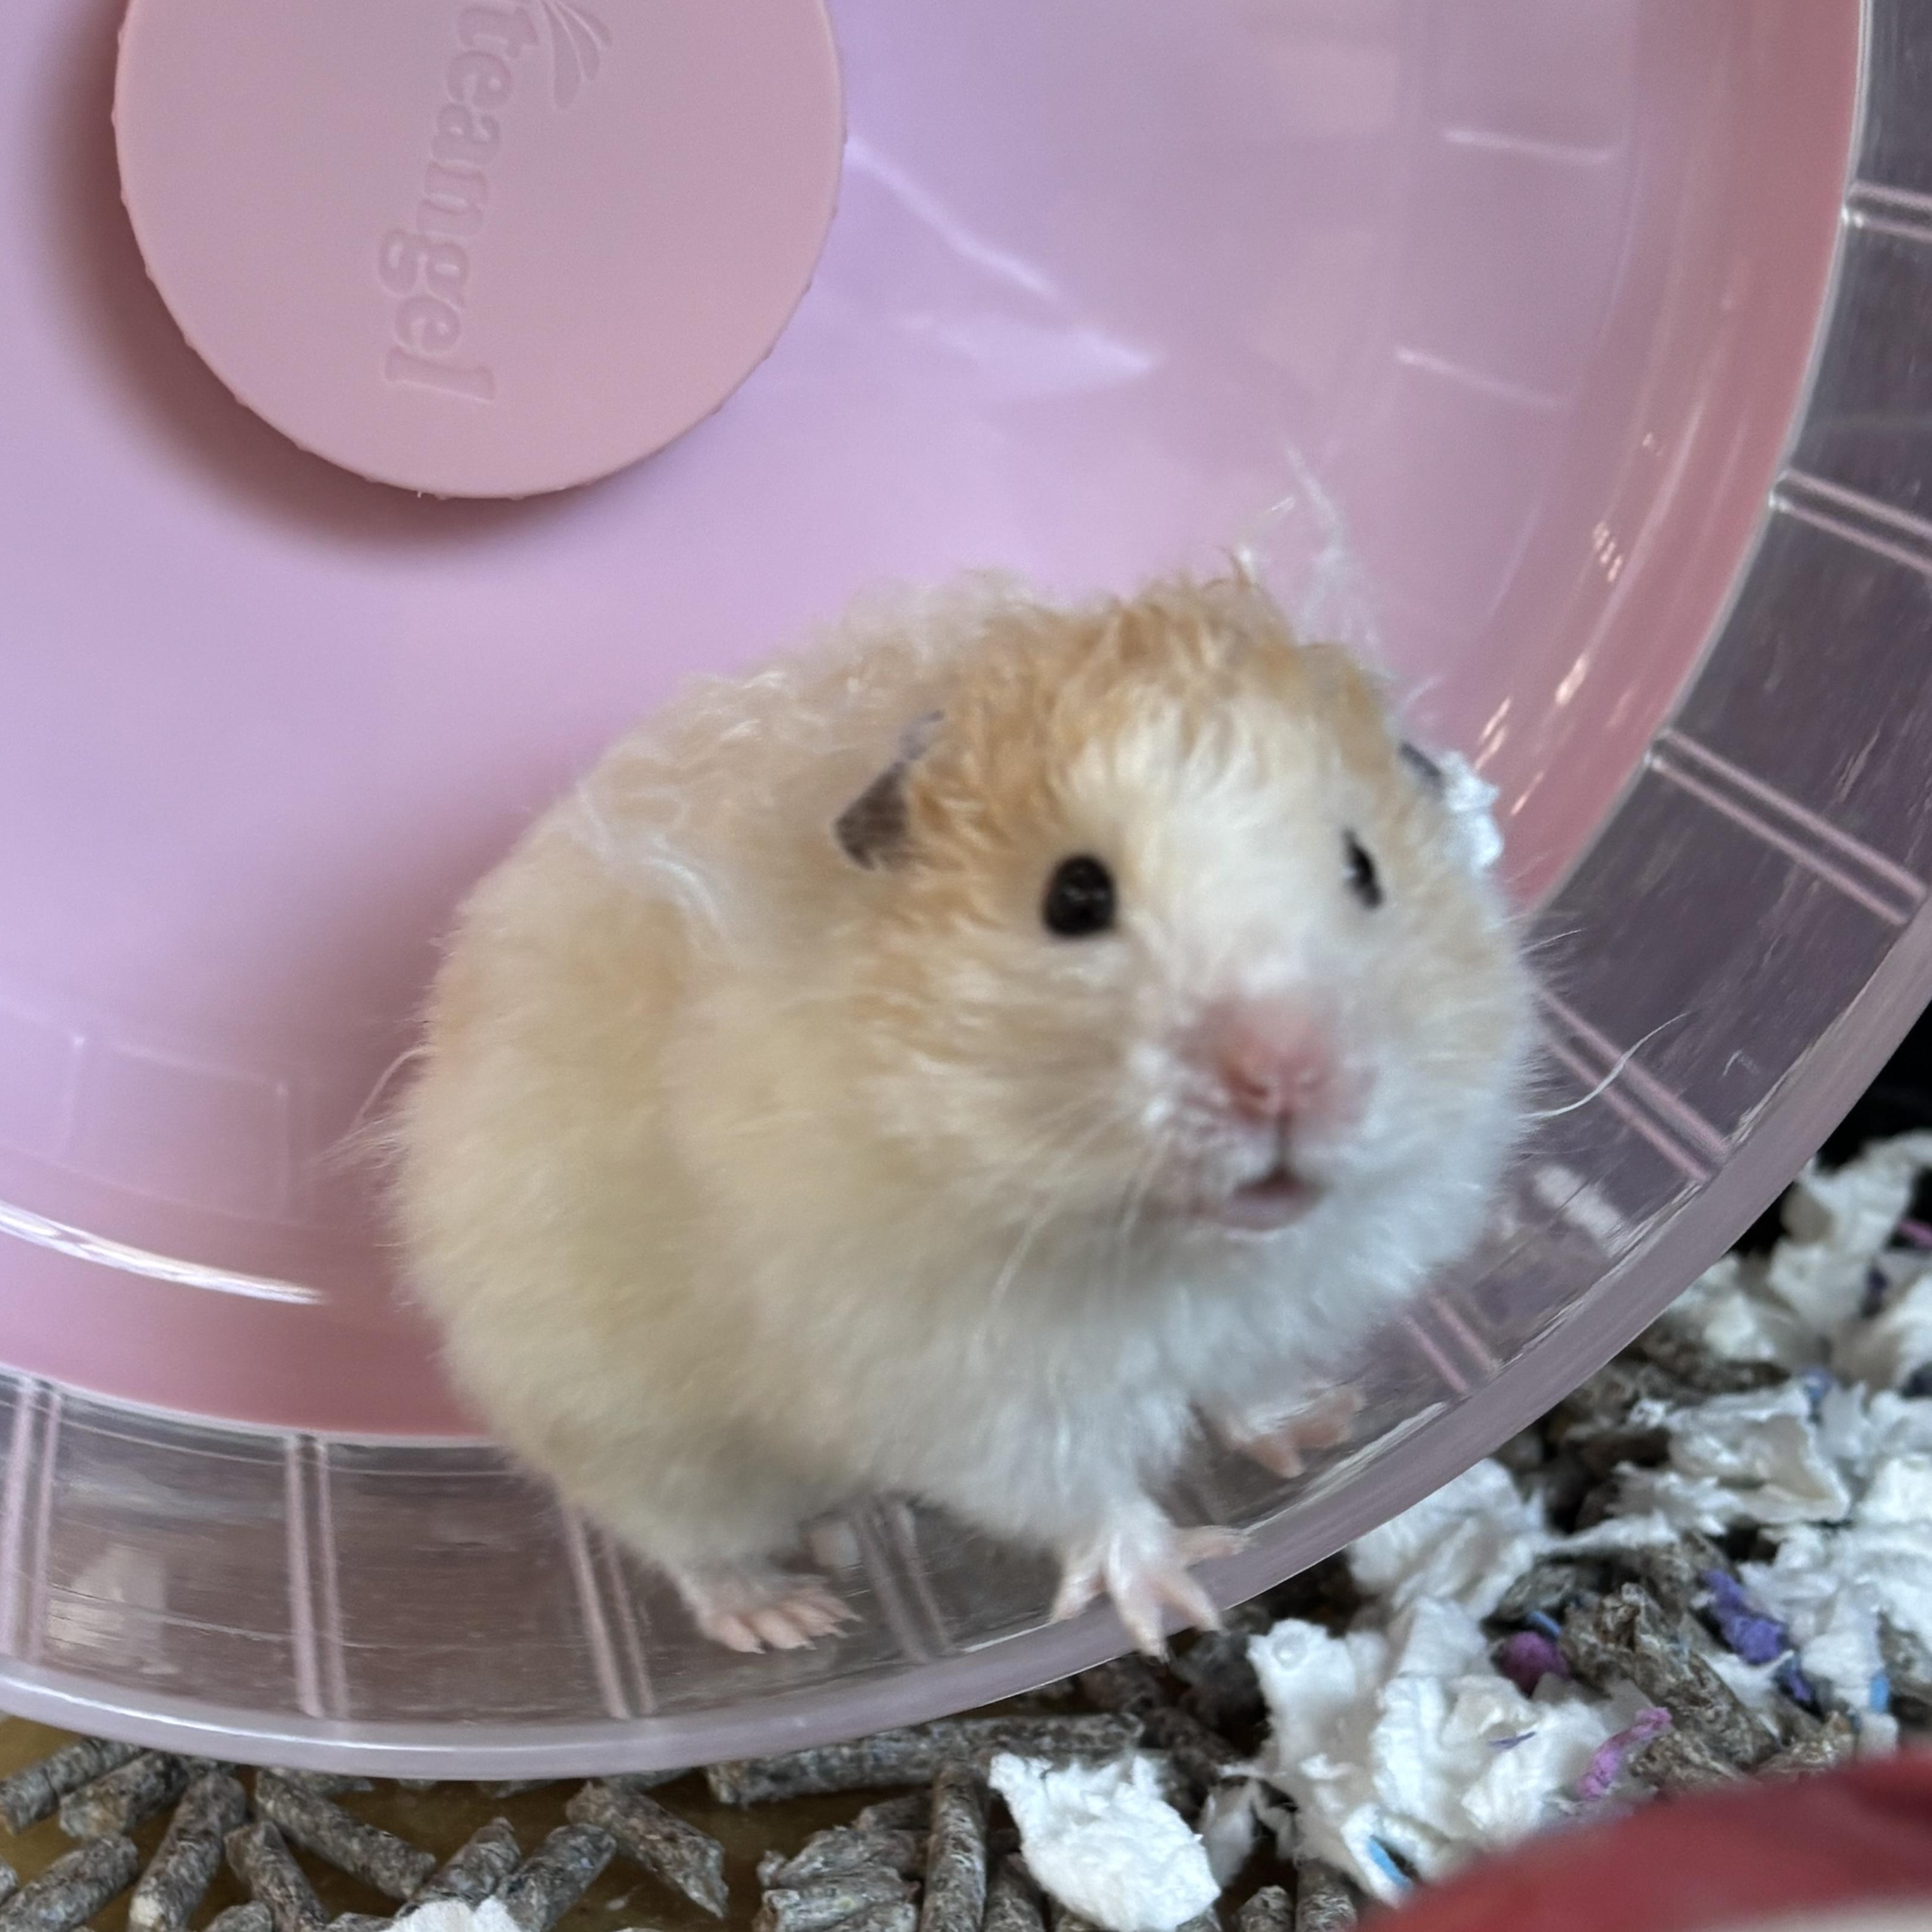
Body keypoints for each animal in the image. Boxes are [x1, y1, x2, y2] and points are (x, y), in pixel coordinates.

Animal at [391, 572, 1531, 1656]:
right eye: (1074, 897)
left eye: (1362, 869)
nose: (1286, 1077)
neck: (1169, 1245)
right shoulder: (968, 1391)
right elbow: (1087, 1496)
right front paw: (1186, 1591)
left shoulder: (1286, 1303)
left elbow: (1245, 1387)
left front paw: (1328, 1426)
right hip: (635, 1439)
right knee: (690, 1549)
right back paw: (794, 1613)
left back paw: (844, 1537)